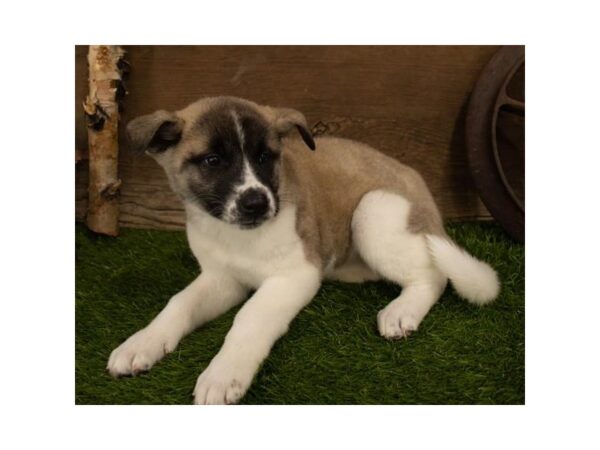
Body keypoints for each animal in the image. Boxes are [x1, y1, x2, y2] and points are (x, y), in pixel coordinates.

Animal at [105, 96, 500, 404]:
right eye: (212, 161)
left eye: (265, 157)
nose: (256, 203)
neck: (238, 236)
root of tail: (420, 185)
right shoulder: (222, 278)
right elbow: (179, 304)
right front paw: (142, 342)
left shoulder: (294, 276)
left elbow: (248, 317)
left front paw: (223, 373)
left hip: (372, 211)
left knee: (434, 274)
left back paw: (402, 311)